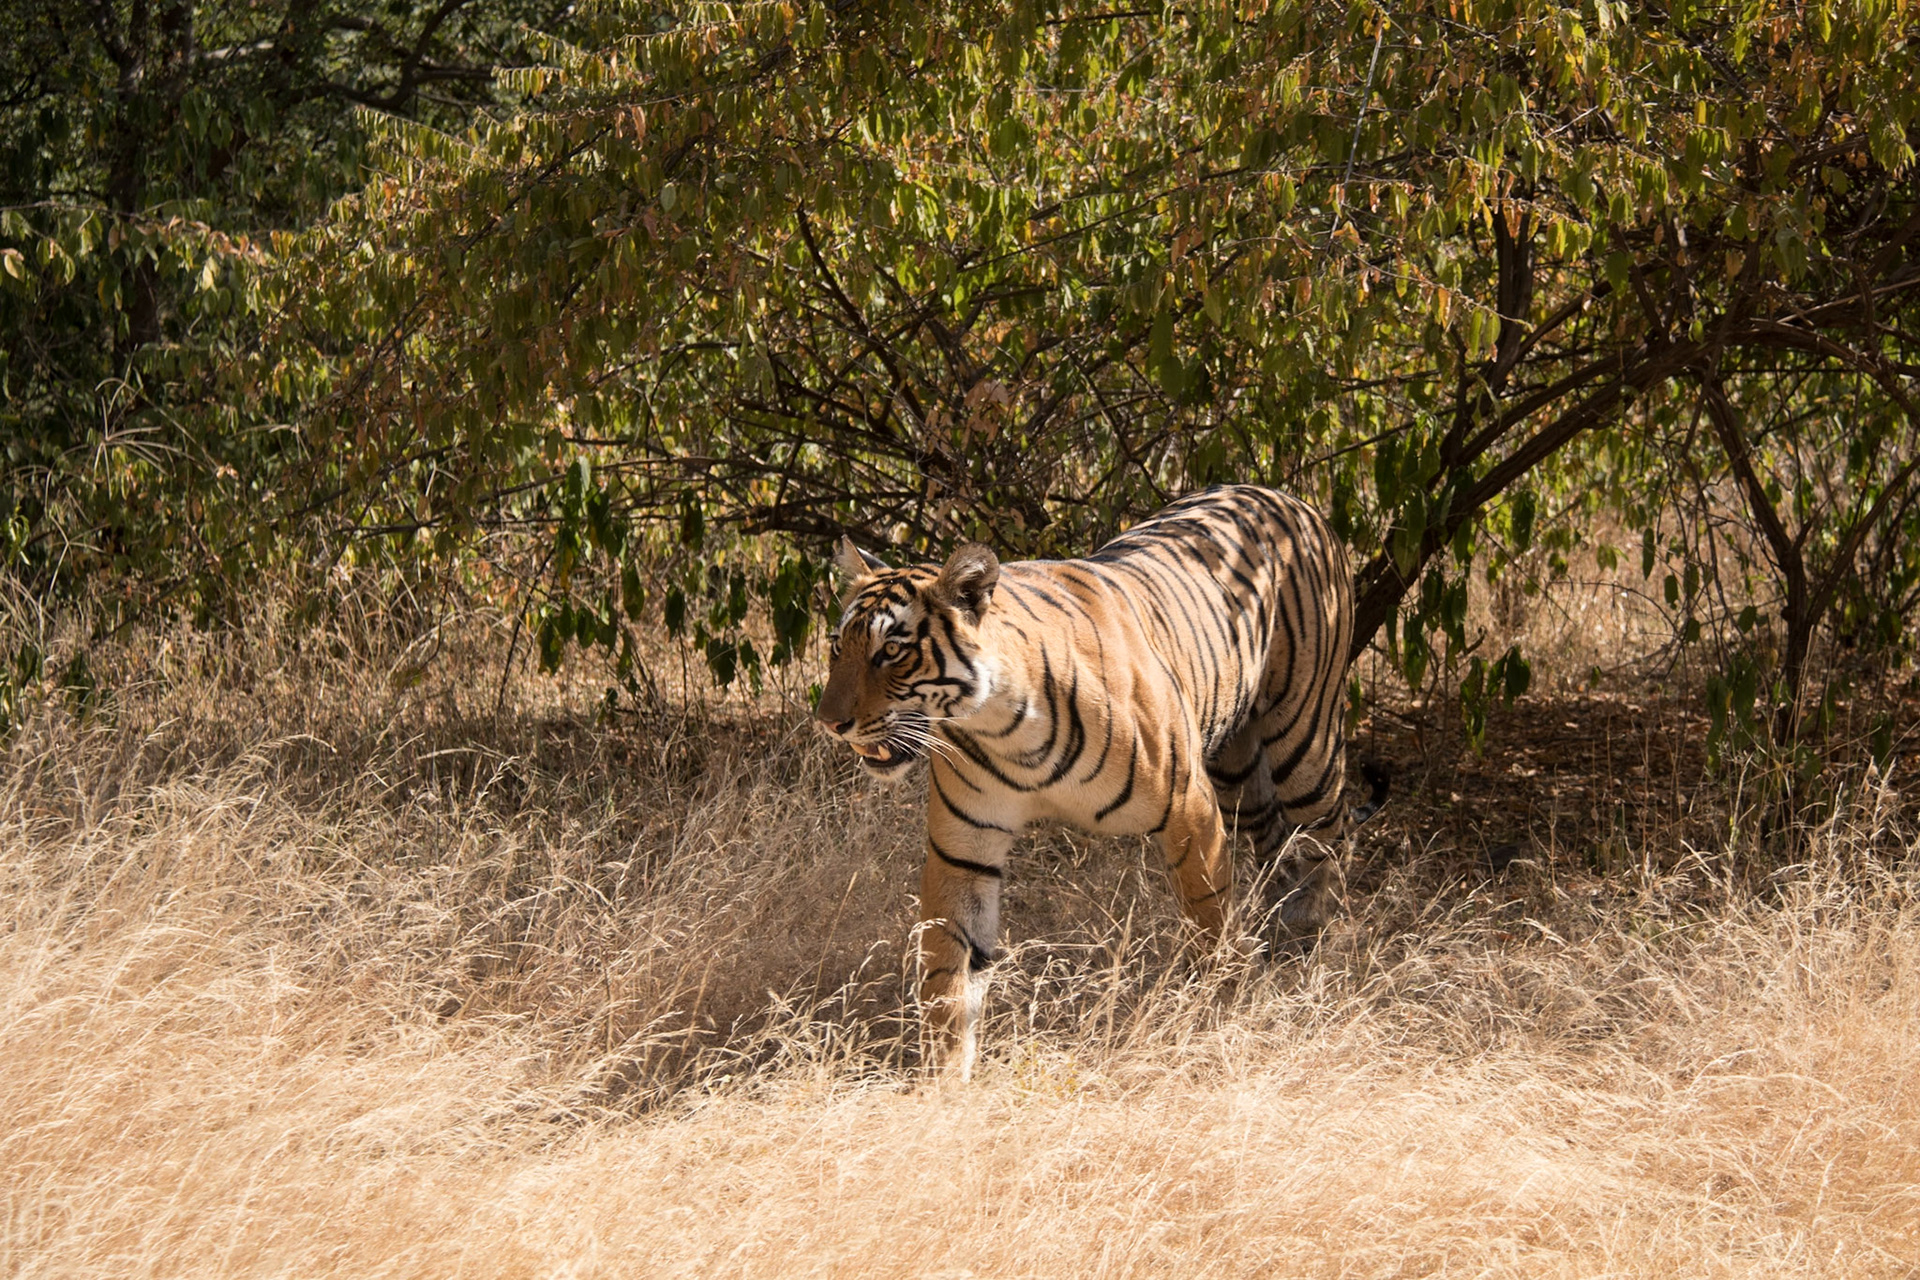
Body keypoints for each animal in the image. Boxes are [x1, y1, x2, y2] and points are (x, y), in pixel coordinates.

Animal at [814, 484, 1388, 1081]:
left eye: (891, 651)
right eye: (836, 646)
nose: (828, 722)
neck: (1002, 728)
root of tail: (1286, 497)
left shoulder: (1190, 809)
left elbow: (1210, 920)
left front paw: (1219, 1012)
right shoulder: (963, 848)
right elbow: (950, 972)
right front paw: (945, 1082)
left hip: (1304, 744)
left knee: (1330, 841)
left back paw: (1318, 954)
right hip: (1237, 770)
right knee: (1280, 847)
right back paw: (1284, 944)